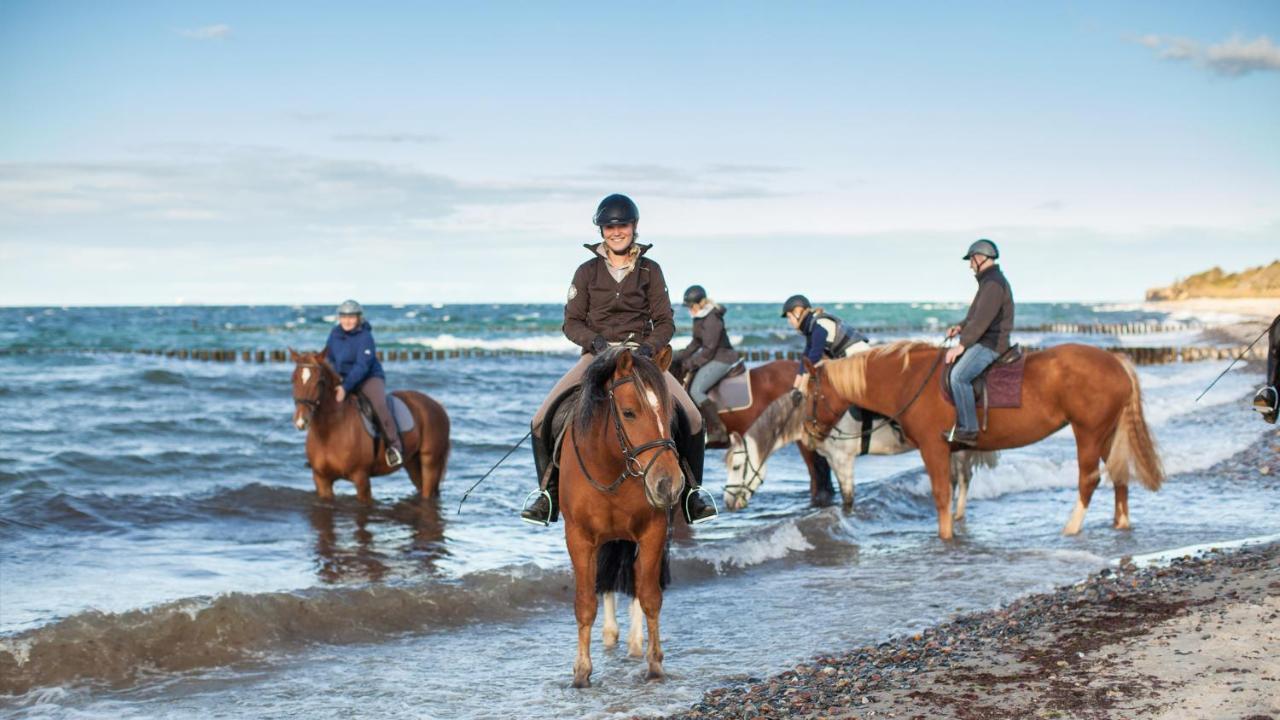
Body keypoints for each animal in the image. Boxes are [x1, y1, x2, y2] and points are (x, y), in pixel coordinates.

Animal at [290, 351, 450, 502]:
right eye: (293, 379)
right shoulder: (322, 480)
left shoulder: (361, 478)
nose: (301, 421)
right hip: (412, 463)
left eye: (319, 381)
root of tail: (437, 405)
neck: (330, 431)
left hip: (430, 462)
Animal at [558, 345, 686, 686]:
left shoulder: (654, 530)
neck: (611, 466)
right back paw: (611, 635)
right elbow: (585, 603)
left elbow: (650, 595)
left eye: (669, 413)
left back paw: (634, 644)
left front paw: (655, 665)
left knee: (635, 579)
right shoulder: (579, 537)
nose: (668, 484)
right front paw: (581, 672)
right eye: (629, 413)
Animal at [803, 340, 1167, 538]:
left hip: (1088, 432)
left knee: (1089, 479)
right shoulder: (951, 451)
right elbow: (953, 490)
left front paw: (945, 537)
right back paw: (1120, 523)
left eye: (811, 394)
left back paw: (1071, 527)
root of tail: (1115, 360)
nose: (810, 431)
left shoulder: (934, 448)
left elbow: (941, 495)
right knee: (1119, 473)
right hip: (1107, 433)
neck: (909, 380)